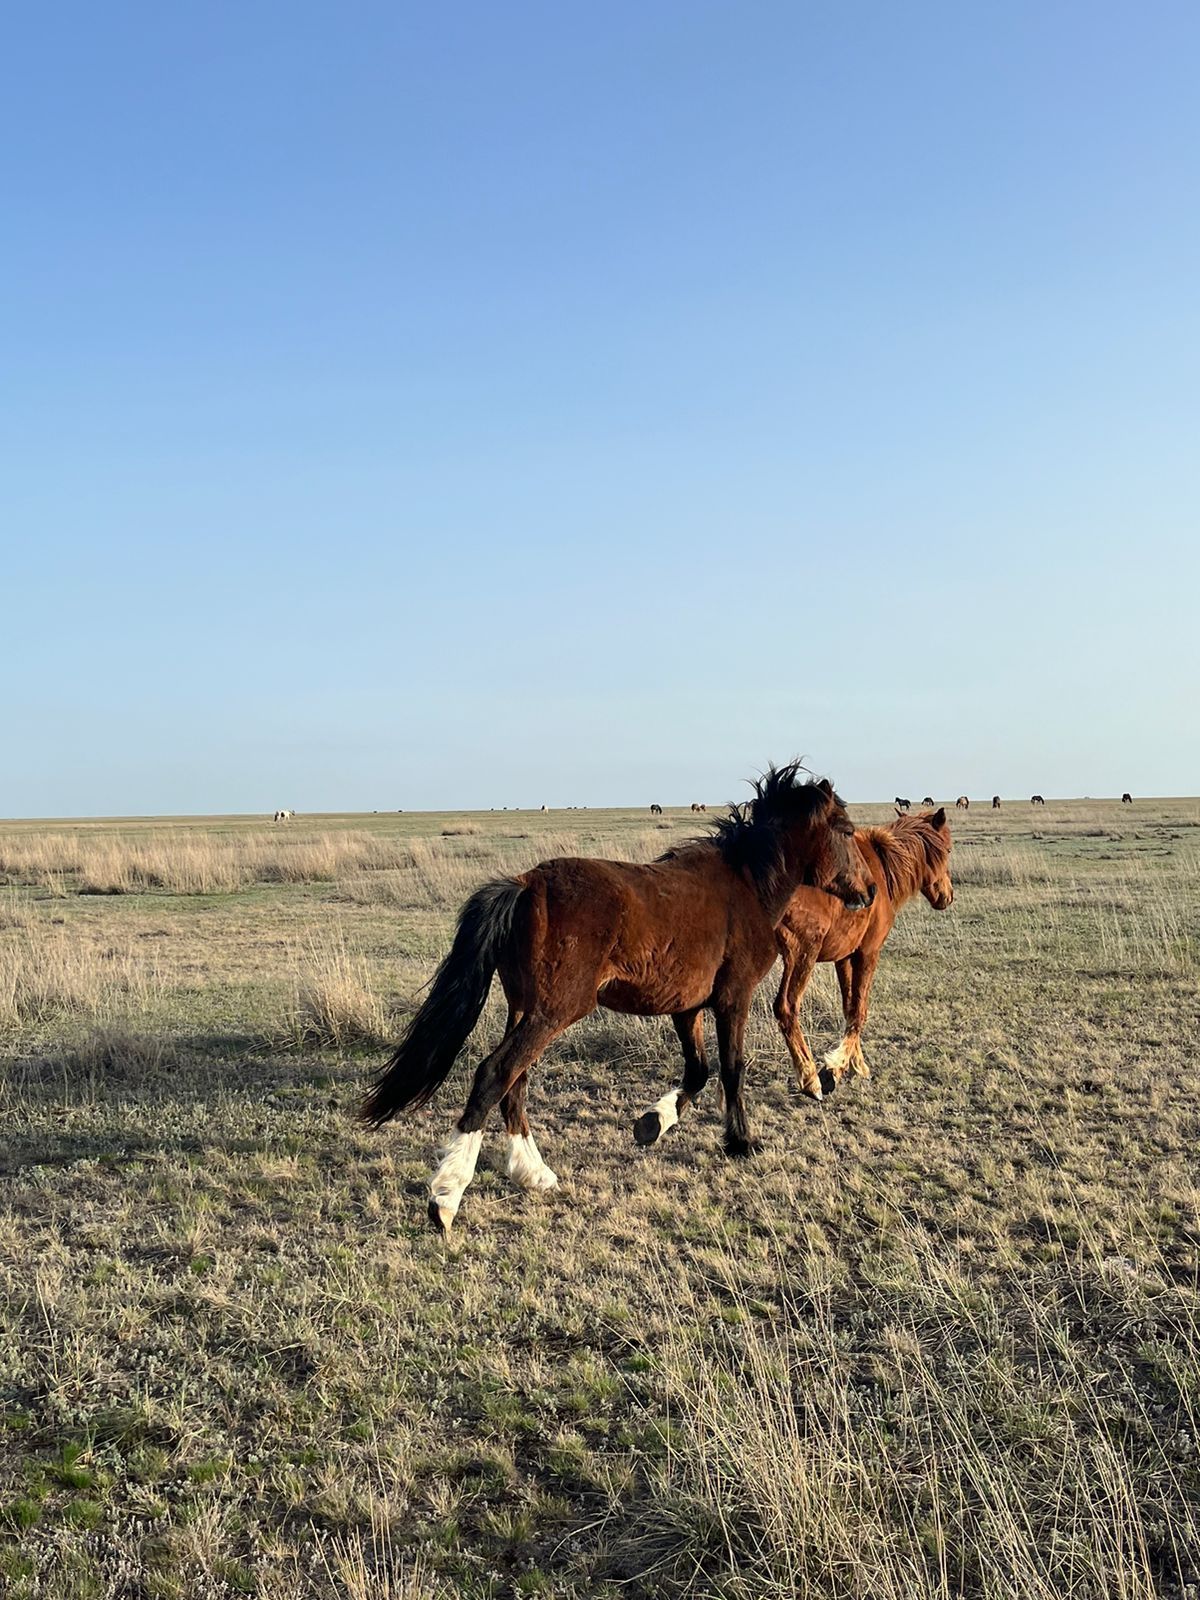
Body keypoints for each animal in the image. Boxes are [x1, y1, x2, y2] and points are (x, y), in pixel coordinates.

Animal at [361, 768, 876, 1228]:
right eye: (847, 830)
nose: (869, 890)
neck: (747, 885)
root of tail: (527, 884)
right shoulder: (733, 998)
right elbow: (732, 1068)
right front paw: (741, 1142)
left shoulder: (686, 1006)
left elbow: (698, 1070)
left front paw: (652, 1123)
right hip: (554, 1010)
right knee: (495, 1073)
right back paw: (446, 1197)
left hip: (525, 1008)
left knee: (515, 1082)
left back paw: (533, 1173)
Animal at [780, 812, 960, 1100]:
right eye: (949, 849)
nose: (948, 896)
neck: (880, 866)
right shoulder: (867, 954)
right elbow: (859, 1010)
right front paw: (836, 1067)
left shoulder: (844, 957)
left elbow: (849, 1008)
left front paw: (853, 1064)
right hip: (801, 956)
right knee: (786, 1008)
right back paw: (810, 1079)